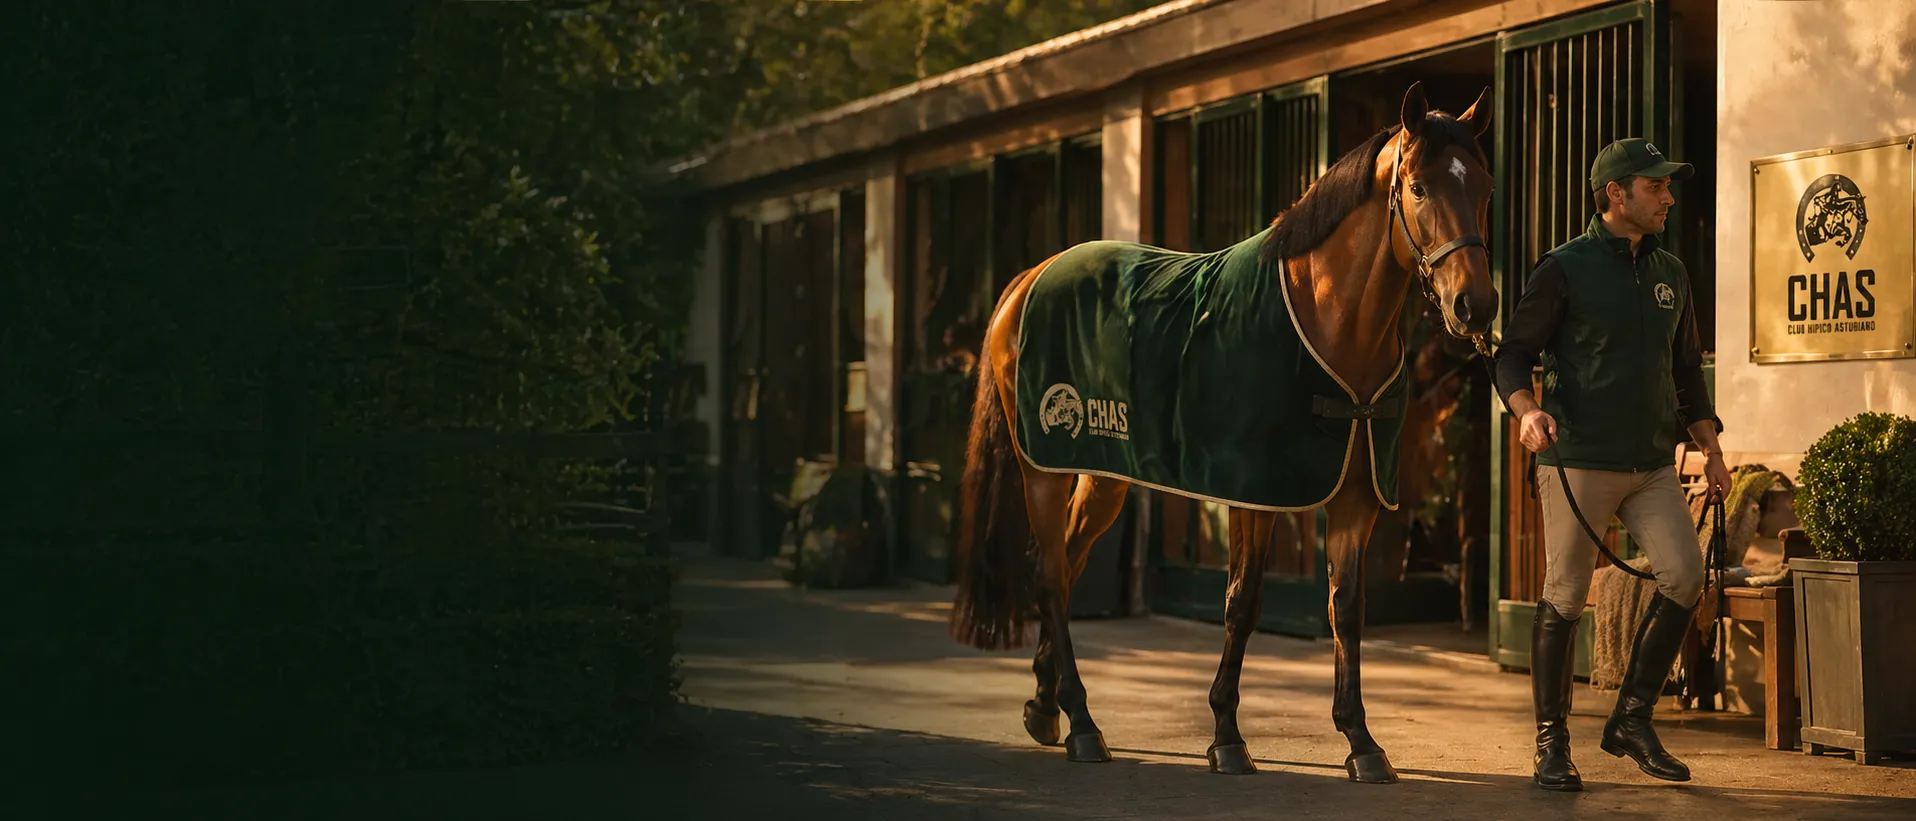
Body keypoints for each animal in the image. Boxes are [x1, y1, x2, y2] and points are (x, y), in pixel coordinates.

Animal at [946, 81, 1499, 784]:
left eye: (1484, 186)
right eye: (1420, 188)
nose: (1475, 307)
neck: (1325, 322)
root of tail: (1029, 278)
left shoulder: (1357, 497)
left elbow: (1346, 606)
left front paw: (1361, 741)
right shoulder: (1255, 494)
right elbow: (1242, 603)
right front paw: (1227, 738)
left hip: (1102, 476)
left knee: (1066, 568)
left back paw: (1046, 708)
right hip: (1042, 470)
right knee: (1047, 573)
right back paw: (1083, 723)